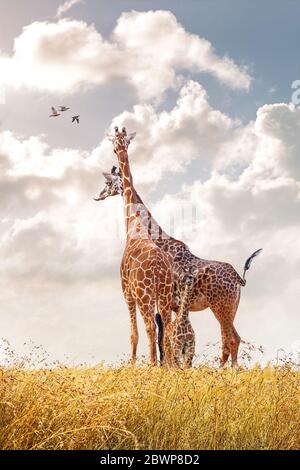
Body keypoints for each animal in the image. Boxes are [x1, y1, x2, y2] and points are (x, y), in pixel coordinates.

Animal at [95, 165, 262, 368]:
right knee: (234, 339)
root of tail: (239, 279)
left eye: (107, 182)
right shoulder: (172, 305)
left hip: (221, 306)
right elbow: (165, 337)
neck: (155, 236)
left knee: (229, 340)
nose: (98, 196)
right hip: (230, 308)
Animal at [106, 126, 173, 366]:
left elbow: (133, 333)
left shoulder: (126, 291)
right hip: (164, 294)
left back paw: (153, 366)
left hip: (145, 295)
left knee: (150, 328)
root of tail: (158, 270)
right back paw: (168, 367)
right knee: (167, 328)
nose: (118, 149)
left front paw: (133, 365)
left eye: (114, 145)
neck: (133, 224)